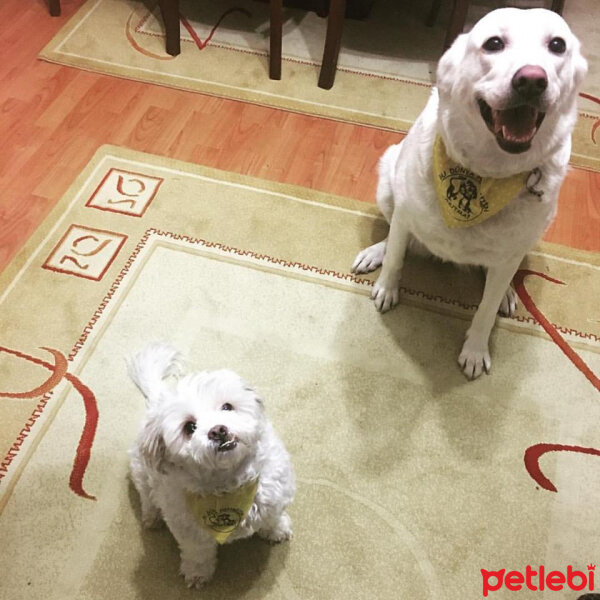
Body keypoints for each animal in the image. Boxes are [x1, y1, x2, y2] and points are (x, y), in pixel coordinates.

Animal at [129, 344, 296, 588]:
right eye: (190, 427)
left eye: (227, 407)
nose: (218, 430)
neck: (228, 485)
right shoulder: (190, 531)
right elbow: (198, 553)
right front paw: (198, 574)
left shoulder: (274, 496)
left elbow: (272, 517)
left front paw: (277, 530)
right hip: (141, 471)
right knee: (147, 497)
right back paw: (152, 517)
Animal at [352, 8, 584, 380]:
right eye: (494, 43)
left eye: (557, 45)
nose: (532, 80)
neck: (489, 171)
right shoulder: (405, 212)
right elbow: (396, 258)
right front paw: (387, 286)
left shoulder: (510, 251)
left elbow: (485, 310)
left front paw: (475, 349)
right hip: (388, 180)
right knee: (394, 238)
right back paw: (376, 251)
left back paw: (506, 292)